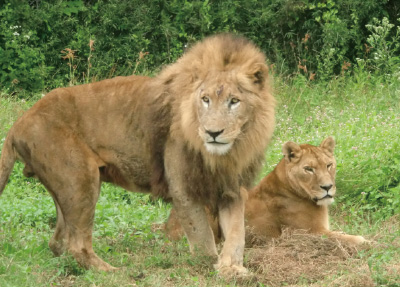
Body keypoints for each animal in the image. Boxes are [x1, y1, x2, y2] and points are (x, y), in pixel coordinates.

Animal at [0, 33, 276, 276]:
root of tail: (17, 124)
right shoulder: (183, 188)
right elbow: (202, 239)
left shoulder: (232, 188)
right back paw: (112, 272)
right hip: (80, 179)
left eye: (234, 101)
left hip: (66, 185)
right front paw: (208, 267)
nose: (213, 132)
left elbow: (237, 234)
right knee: (76, 243)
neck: (225, 154)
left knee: (58, 241)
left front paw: (233, 268)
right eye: (205, 99)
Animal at [165, 138, 366, 246]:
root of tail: (167, 223)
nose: (327, 187)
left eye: (329, 165)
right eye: (309, 169)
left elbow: (341, 233)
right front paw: (366, 241)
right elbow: (346, 238)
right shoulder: (307, 233)